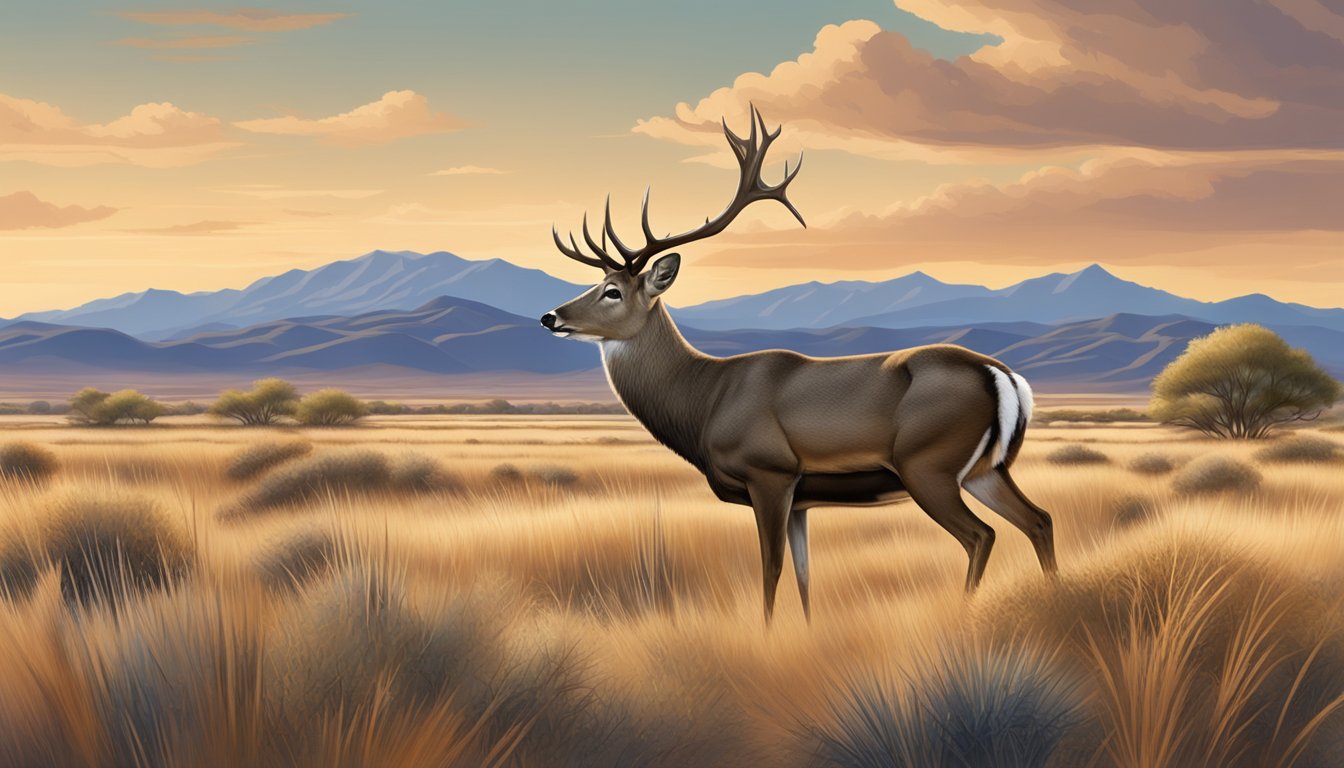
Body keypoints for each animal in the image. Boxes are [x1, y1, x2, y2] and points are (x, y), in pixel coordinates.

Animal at [540, 108, 1053, 624]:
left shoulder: (770, 472)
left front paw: (766, 634)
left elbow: (771, 570)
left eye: (613, 292)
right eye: (595, 283)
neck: (704, 400)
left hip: (929, 463)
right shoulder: (801, 500)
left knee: (981, 535)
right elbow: (806, 577)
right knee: (1040, 520)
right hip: (986, 468)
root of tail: (1005, 378)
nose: (550, 316)